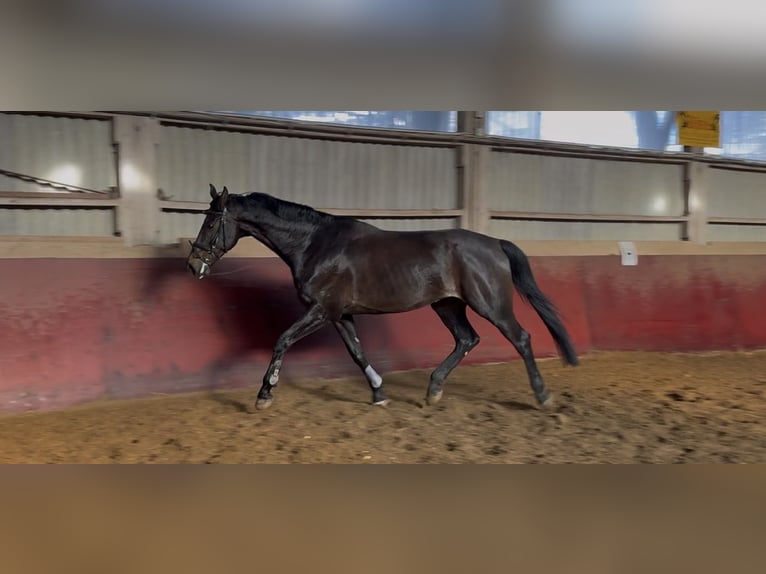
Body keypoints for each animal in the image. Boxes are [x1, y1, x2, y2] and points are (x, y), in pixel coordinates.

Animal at [187, 184, 579, 411]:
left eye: (211, 222)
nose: (193, 265)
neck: (315, 244)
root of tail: (495, 243)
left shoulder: (321, 310)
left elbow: (282, 340)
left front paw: (264, 394)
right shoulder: (340, 314)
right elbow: (357, 352)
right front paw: (378, 393)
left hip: (490, 304)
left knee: (520, 338)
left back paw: (542, 395)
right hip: (447, 305)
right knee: (467, 340)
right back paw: (433, 390)